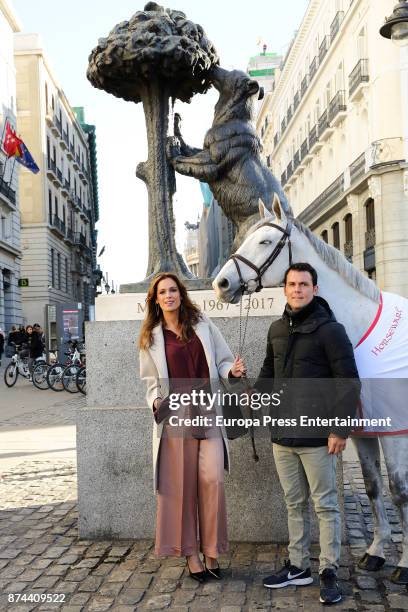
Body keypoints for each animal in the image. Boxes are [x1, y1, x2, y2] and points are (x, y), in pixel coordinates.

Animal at [212, 196, 408, 584]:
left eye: (264, 241)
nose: (222, 283)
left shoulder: (394, 430)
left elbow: (398, 490)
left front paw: (406, 563)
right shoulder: (362, 429)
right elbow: (373, 485)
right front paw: (376, 553)